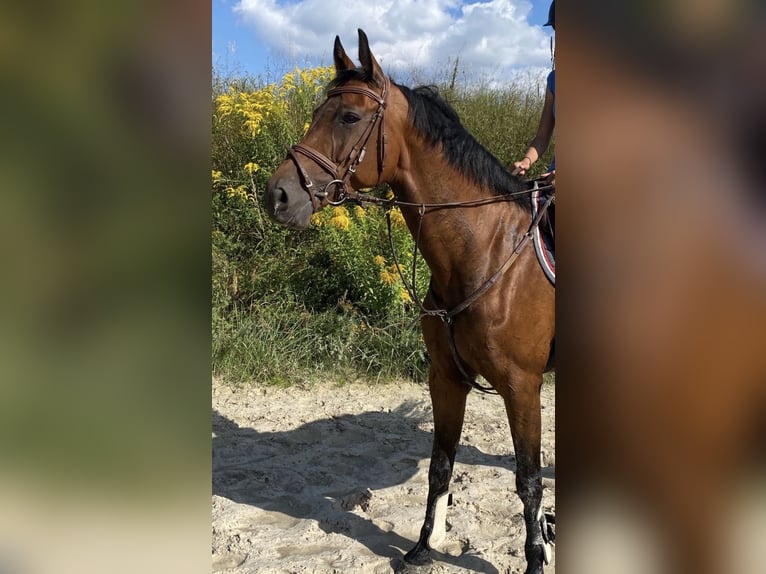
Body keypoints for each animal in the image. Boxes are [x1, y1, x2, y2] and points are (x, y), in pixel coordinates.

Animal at [265, 29, 555, 574]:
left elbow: (528, 479)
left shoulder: (522, 386)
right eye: (317, 112)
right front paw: (423, 546)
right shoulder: (446, 377)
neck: (484, 252)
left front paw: (535, 558)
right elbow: (441, 465)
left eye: (349, 117)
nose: (278, 196)